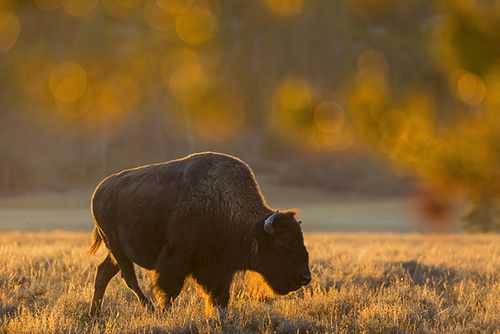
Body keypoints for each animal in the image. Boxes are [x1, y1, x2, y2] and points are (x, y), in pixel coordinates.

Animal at [88, 153, 310, 314]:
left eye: (300, 240)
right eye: (282, 244)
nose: (305, 277)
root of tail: (100, 189)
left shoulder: (221, 269)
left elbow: (220, 296)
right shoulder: (176, 260)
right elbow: (170, 290)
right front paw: (165, 312)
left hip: (116, 252)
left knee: (104, 272)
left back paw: (95, 314)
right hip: (116, 248)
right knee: (129, 278)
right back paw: (149, 309)